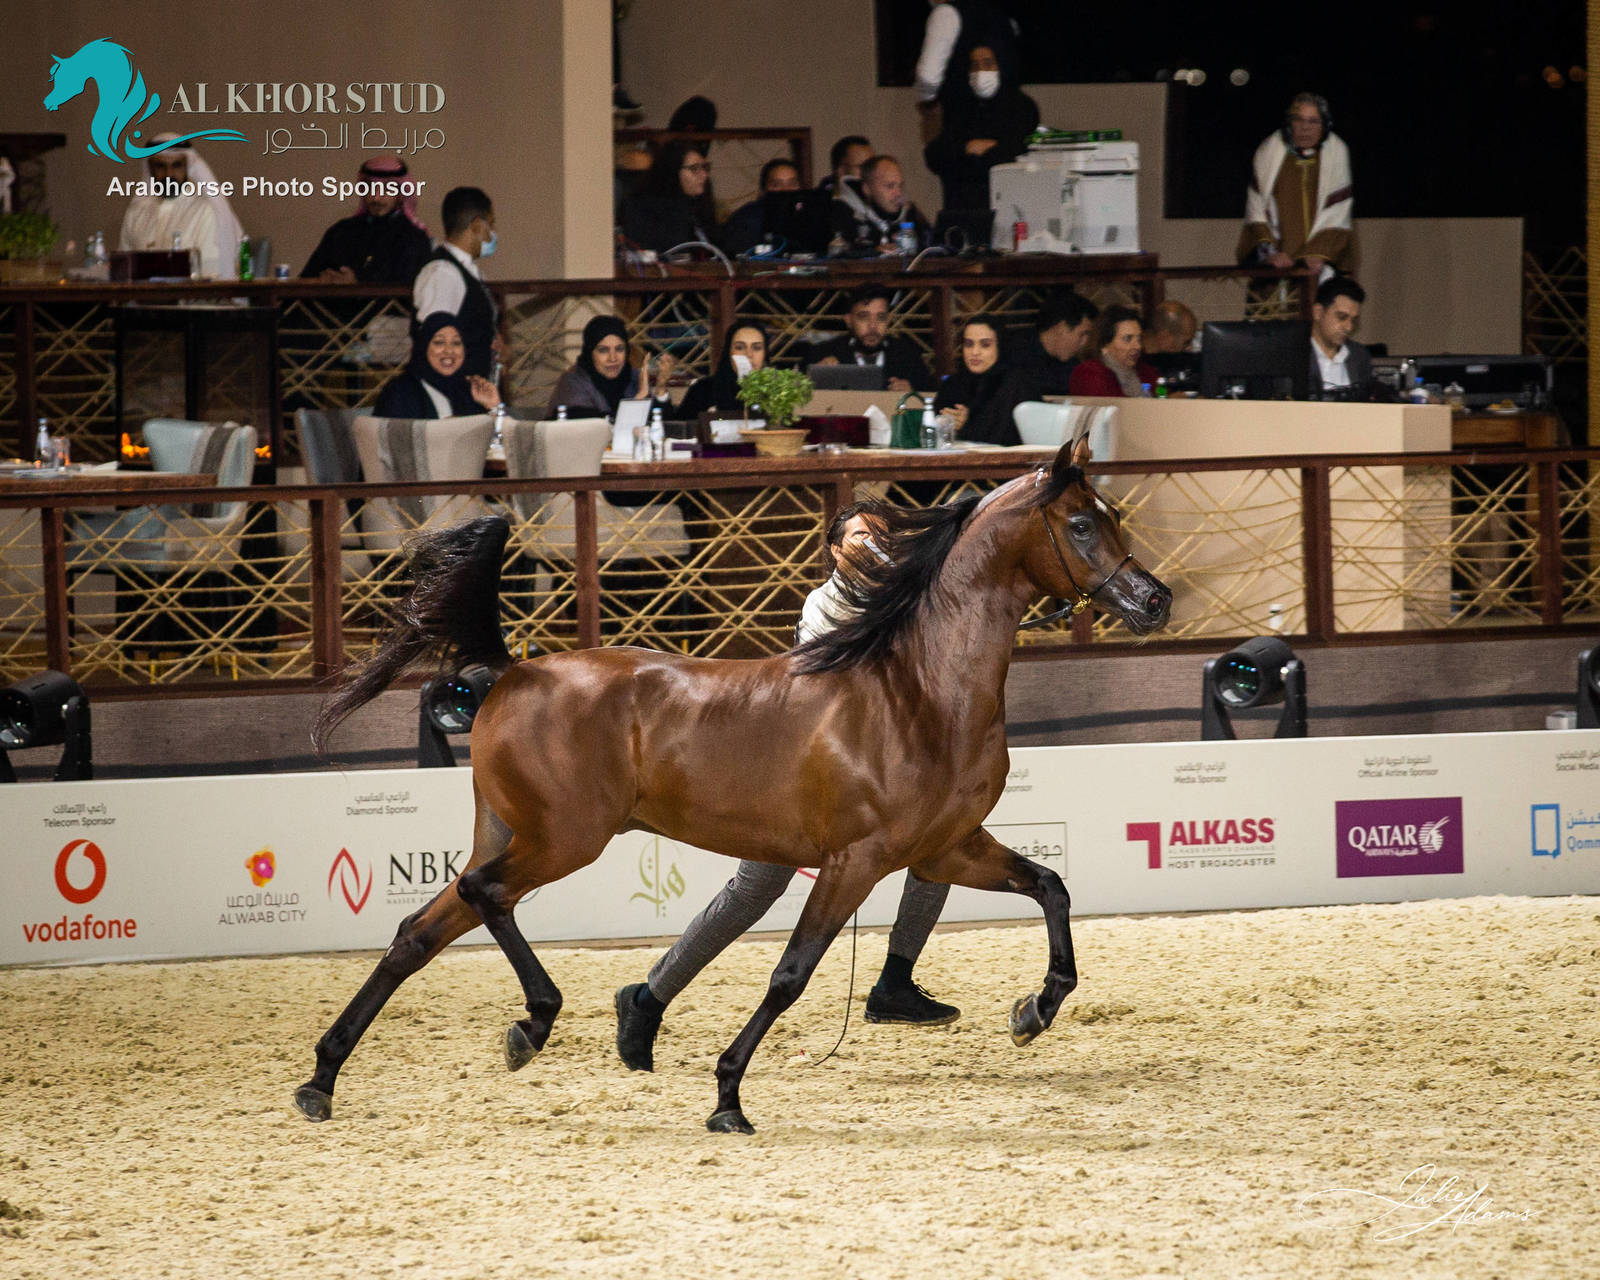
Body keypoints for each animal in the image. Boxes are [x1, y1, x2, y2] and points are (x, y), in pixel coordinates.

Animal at [296, 436, 1171, 1134]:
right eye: (1082, 524)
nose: (1155, 601)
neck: (919, 690)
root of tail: (512, 672)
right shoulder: (856, 861)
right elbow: (790, 975)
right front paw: (727, 1099)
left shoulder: (947, 847)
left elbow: (1052, 887)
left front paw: (1034, 1011)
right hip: (562, 840)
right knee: (484, 898)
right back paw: (534, 1022)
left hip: (514, 834)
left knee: (419, 931)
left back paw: (323, 1079)